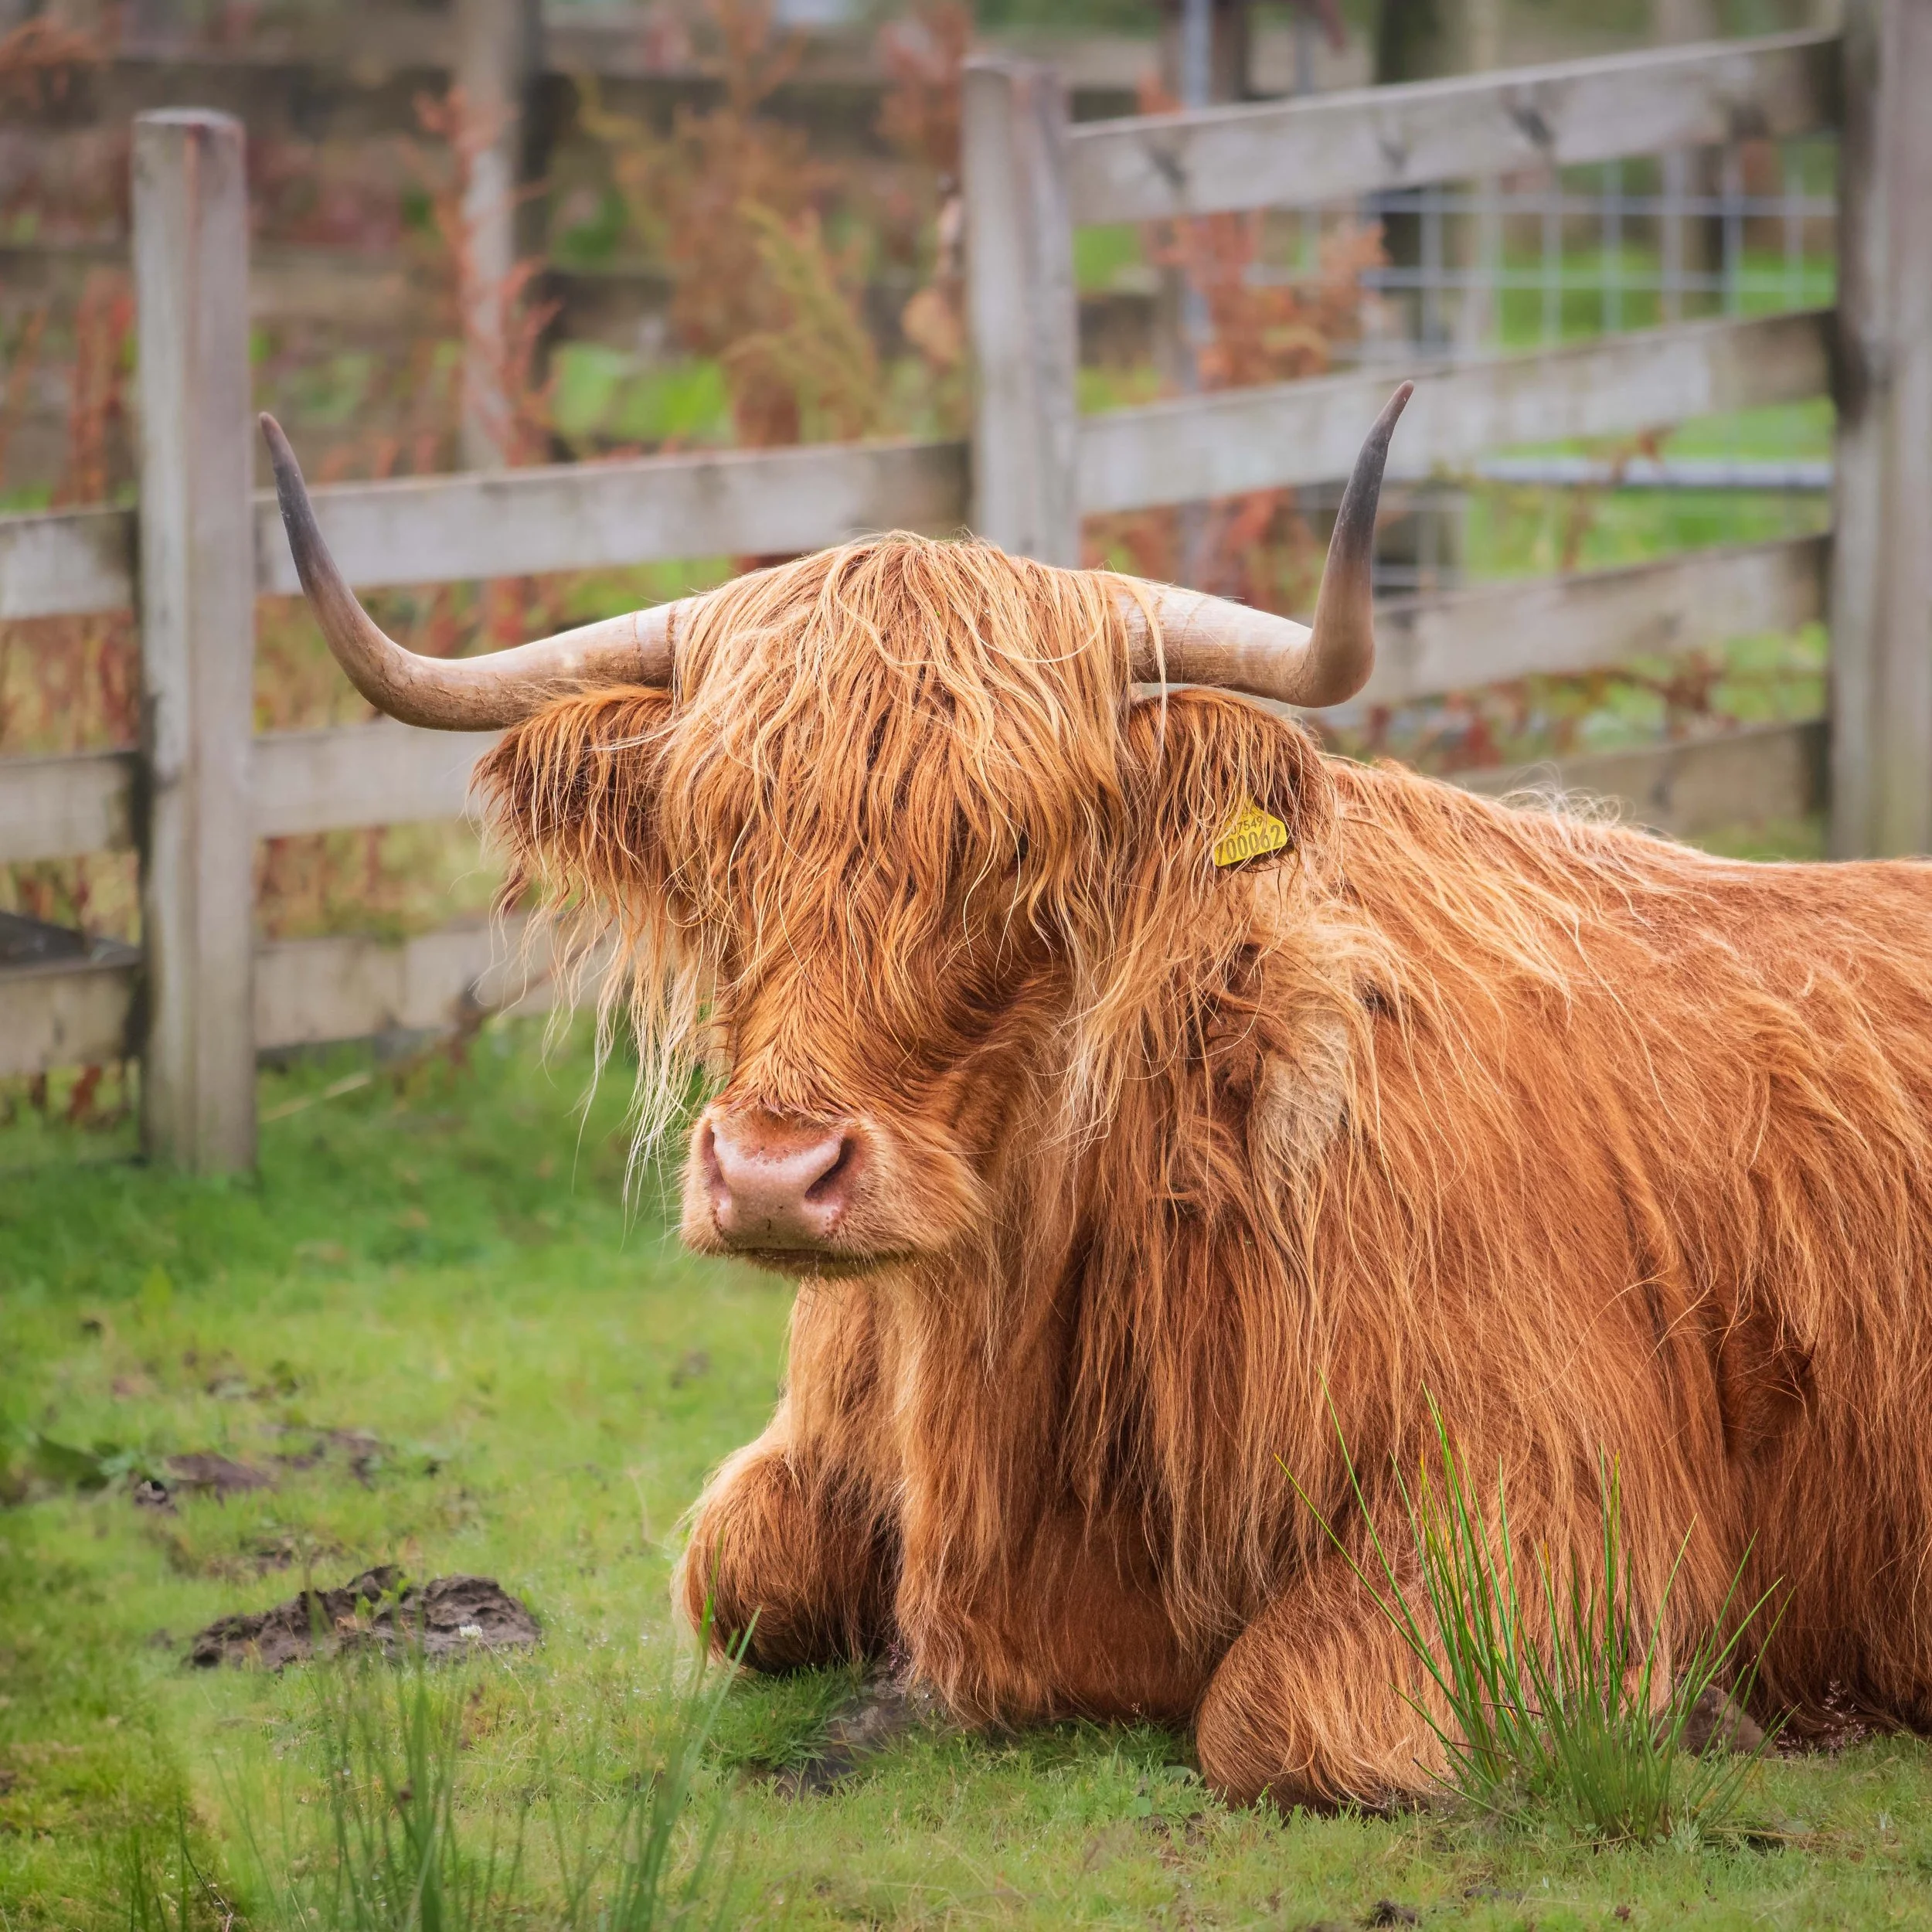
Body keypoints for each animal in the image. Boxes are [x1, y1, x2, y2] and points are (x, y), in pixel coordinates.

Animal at [261, 396, 1932, 1809]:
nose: (775, 1172)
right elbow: (739, 1571)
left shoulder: (1552, 1491)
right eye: (710, 839)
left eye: (1013, 848)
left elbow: (1284, 1714)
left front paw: (1701, 1717)